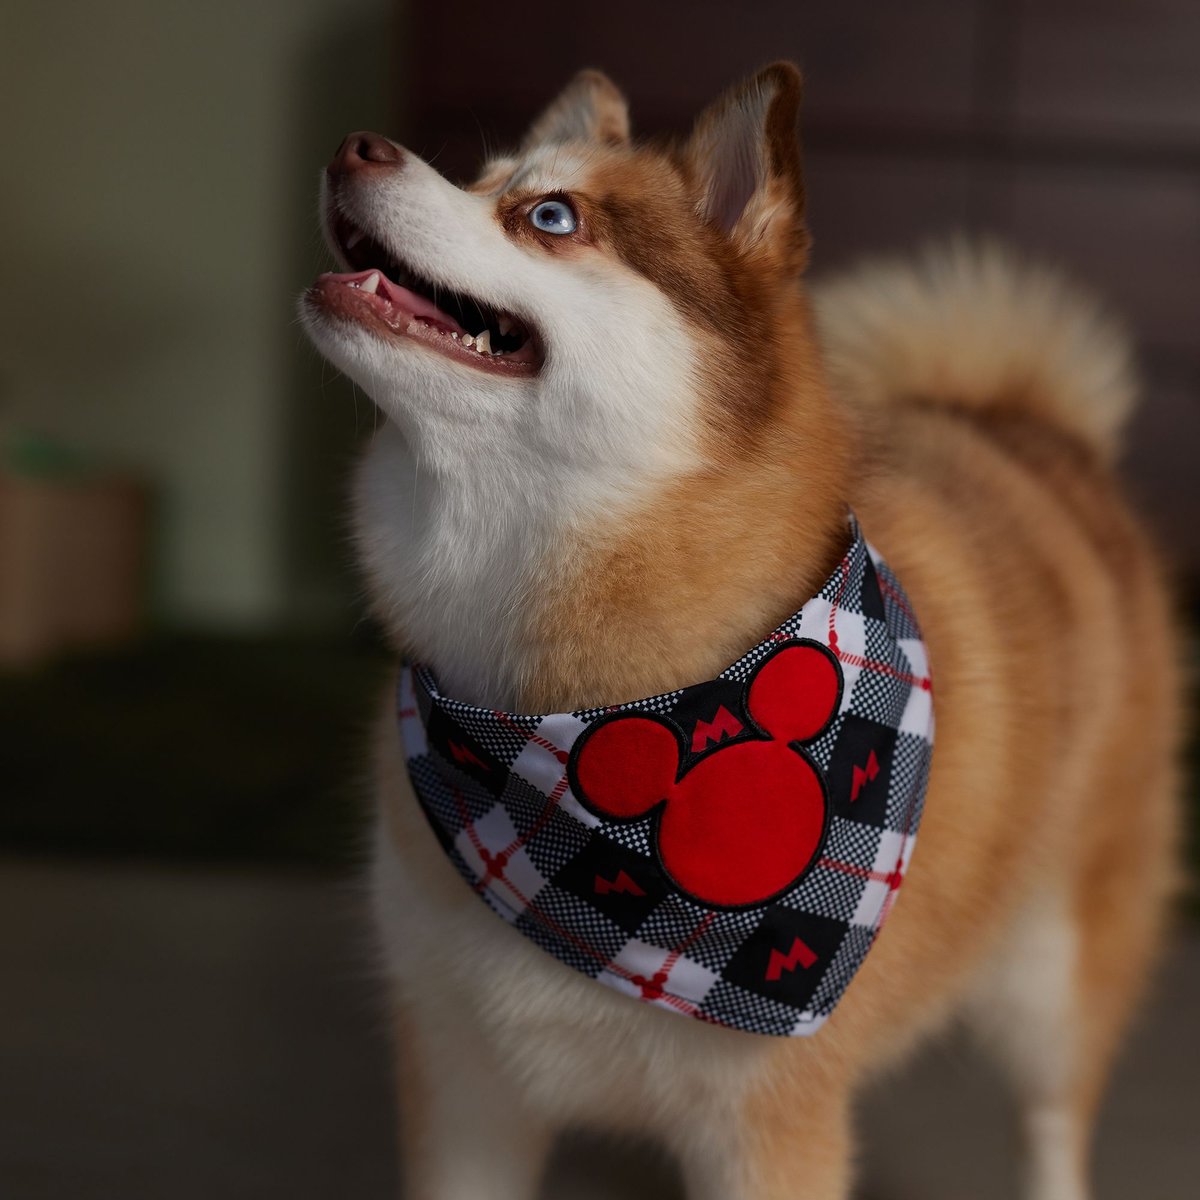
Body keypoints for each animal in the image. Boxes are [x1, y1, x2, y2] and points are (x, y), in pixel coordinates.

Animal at [300, 63, 1180, 1200]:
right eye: (479, 176)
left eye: (549, 216)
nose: (355, 146)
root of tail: (1021, 422)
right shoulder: (465, 1095)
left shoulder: (766, 1128)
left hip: (1049, 985)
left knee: (1052, 1124)